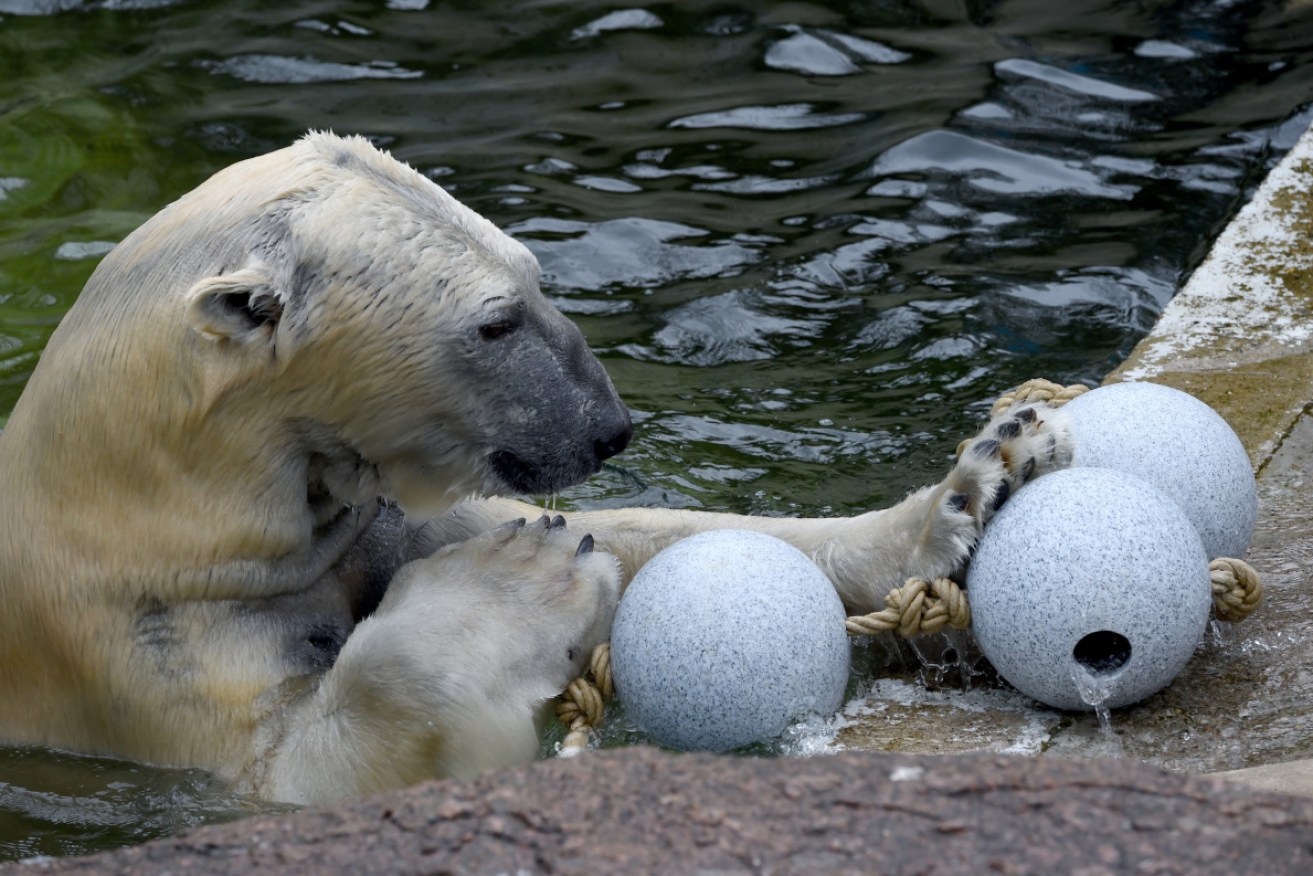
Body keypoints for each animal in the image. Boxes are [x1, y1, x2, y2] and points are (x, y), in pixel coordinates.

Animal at [0, 131, 1066, 809]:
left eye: (535, 274)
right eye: (493, 321)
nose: (608, 428)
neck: (160, 511)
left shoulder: (368, 524)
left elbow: (642, 537)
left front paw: (971, 491)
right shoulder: (138, 659)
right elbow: (303, 772)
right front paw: (526, 575)